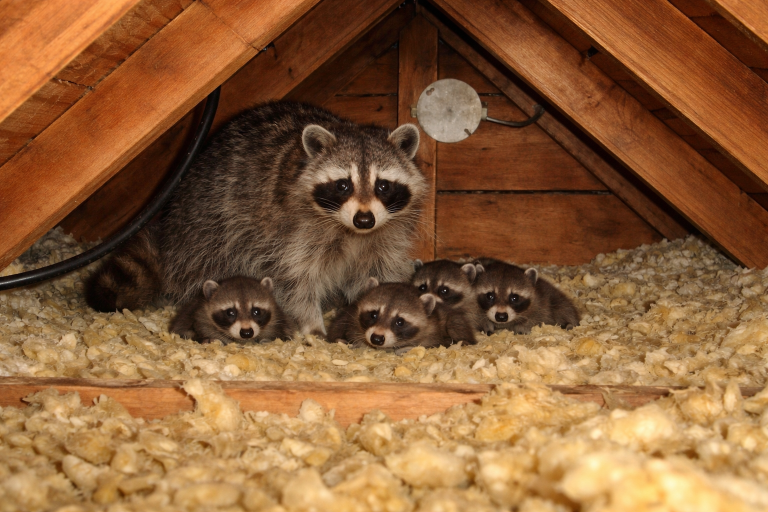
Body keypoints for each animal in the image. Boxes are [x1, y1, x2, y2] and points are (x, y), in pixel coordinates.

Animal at [85, 102, 427, 335]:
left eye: (383, 186)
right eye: (343, 185)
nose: (364, 219)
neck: (349, 231)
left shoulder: (386, 233)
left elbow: (378, 271)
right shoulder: (291, 232)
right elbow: (293, 278)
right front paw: (311, 324)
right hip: (207, 223)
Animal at [327, 278, 477, 350]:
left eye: (399, 322)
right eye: (373, 315)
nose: (377, 339)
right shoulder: (352, 312)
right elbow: (340, 322)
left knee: (455, 323)